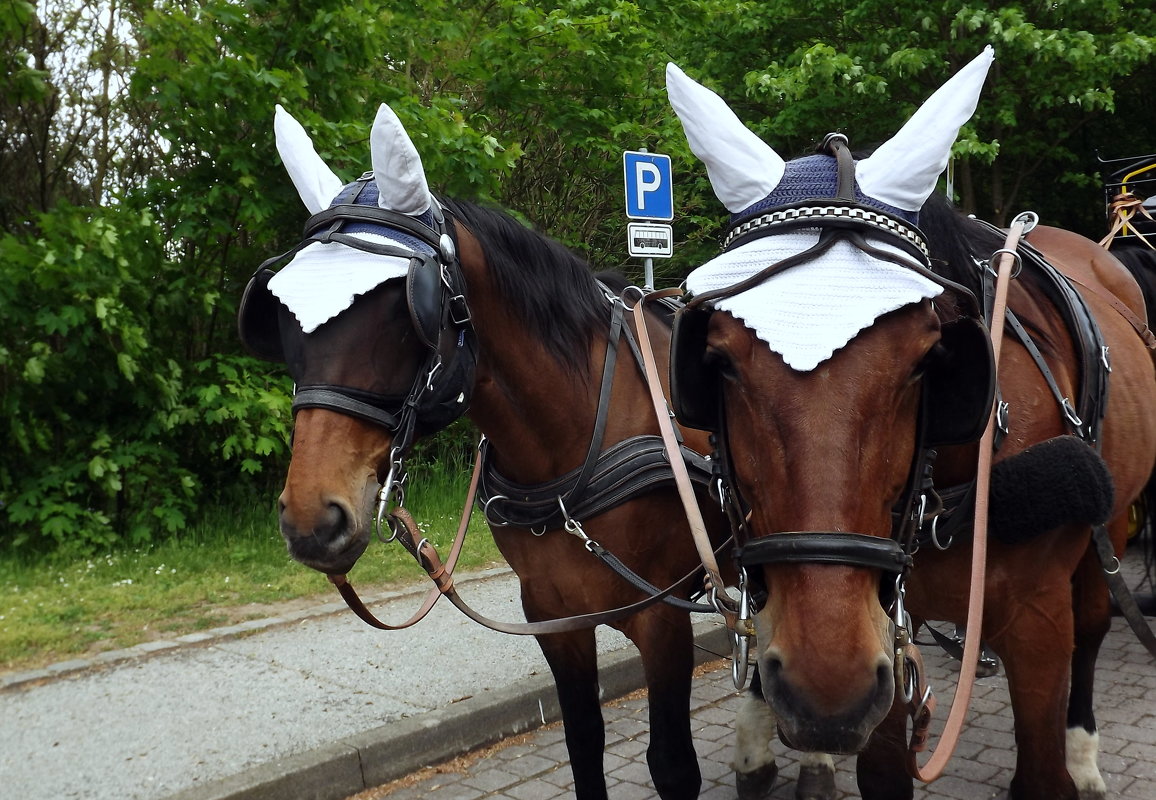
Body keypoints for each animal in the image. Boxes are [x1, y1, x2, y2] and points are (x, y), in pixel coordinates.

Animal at [235, 102, 804, 795]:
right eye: (280, 316)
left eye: (402, 312)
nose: (313, 520)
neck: (572, 446)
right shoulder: (553, 614)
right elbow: (582, 743)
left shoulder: (660, 617)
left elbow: (671, 763)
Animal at [665, 50, 1156, 800]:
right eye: (714, 360)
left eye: (932, 358)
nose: (822, 687)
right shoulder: (884, 636)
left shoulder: (1039, 622)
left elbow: (1043, 760)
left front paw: (1066, 761)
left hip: (1112, 523)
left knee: (1096, 626)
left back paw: (1085, 754)